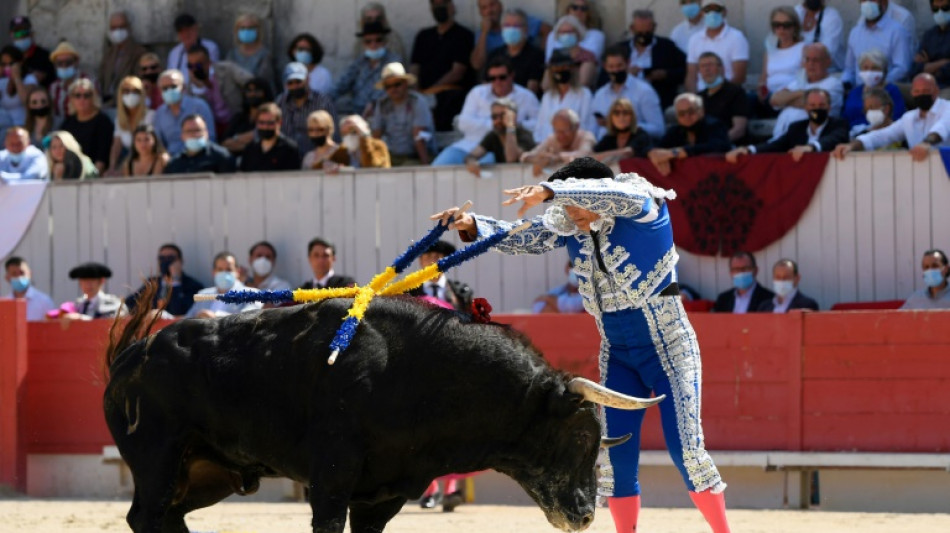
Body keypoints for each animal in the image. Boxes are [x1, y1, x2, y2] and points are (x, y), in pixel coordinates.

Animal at [100, 296, 660, 532]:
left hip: (205, 473)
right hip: (157, 461)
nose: (585, 515)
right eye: (581, 438)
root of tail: (132, 355)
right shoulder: (332, 481)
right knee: (145, 517)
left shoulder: (384, 495)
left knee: (167, 519)